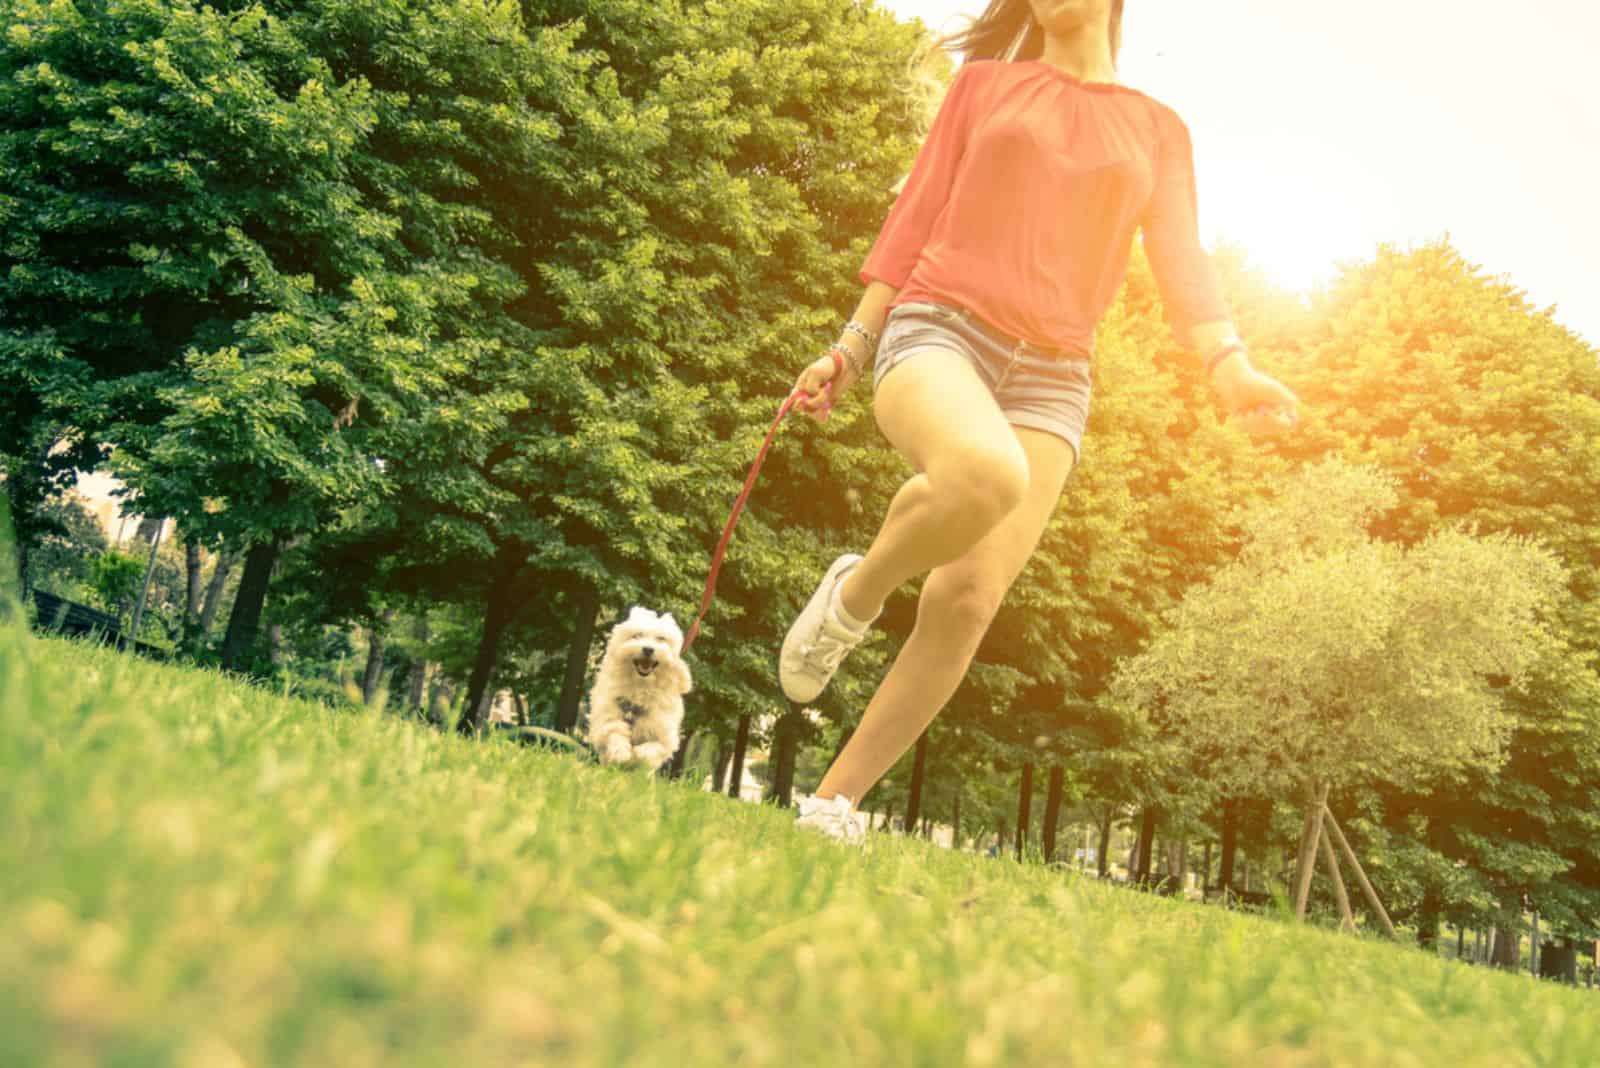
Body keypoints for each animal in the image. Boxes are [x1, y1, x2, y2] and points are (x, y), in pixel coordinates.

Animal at [585, 604, 691, 770]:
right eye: (637, 635)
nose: (648, 649)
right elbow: (614, 731)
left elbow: (652, 748)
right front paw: (621, 752)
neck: (641, 687)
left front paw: (637, 755)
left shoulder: (665, 738)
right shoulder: (606, 719)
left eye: (661, 639)